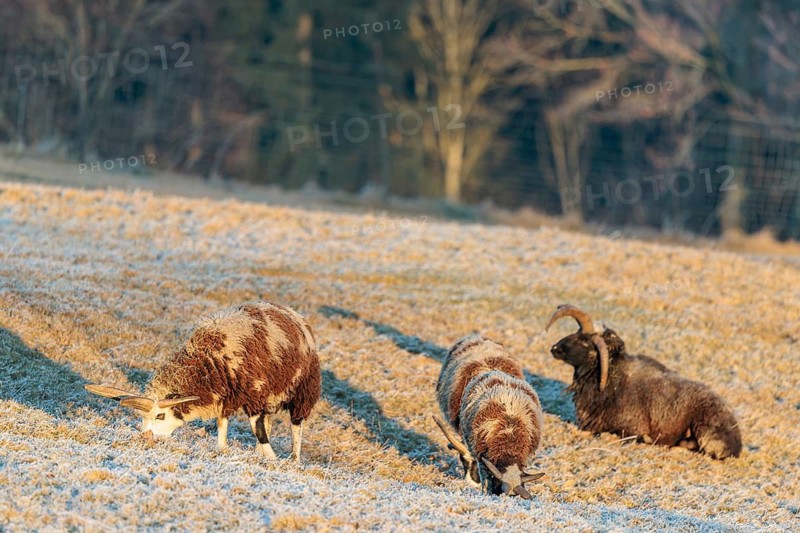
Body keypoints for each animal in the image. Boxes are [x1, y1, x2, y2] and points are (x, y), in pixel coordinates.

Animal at [86, 301, 321, 462]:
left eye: (160, 415)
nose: (146, 437)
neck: (209, 359)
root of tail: (292, 314)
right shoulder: (227, 395)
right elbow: (222, 424)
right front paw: (223, 449)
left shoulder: (253, 391)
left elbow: (258, 429)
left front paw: (272, 457)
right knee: (269, 421)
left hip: (303, 390)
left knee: (296, 425)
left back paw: (294, 458)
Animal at [546, 304, 742, 460]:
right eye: (576, 333)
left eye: (585, 342)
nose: (554, 348)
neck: (610, 379)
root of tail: (737, 441)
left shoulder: (630, 427)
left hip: (707, 431)